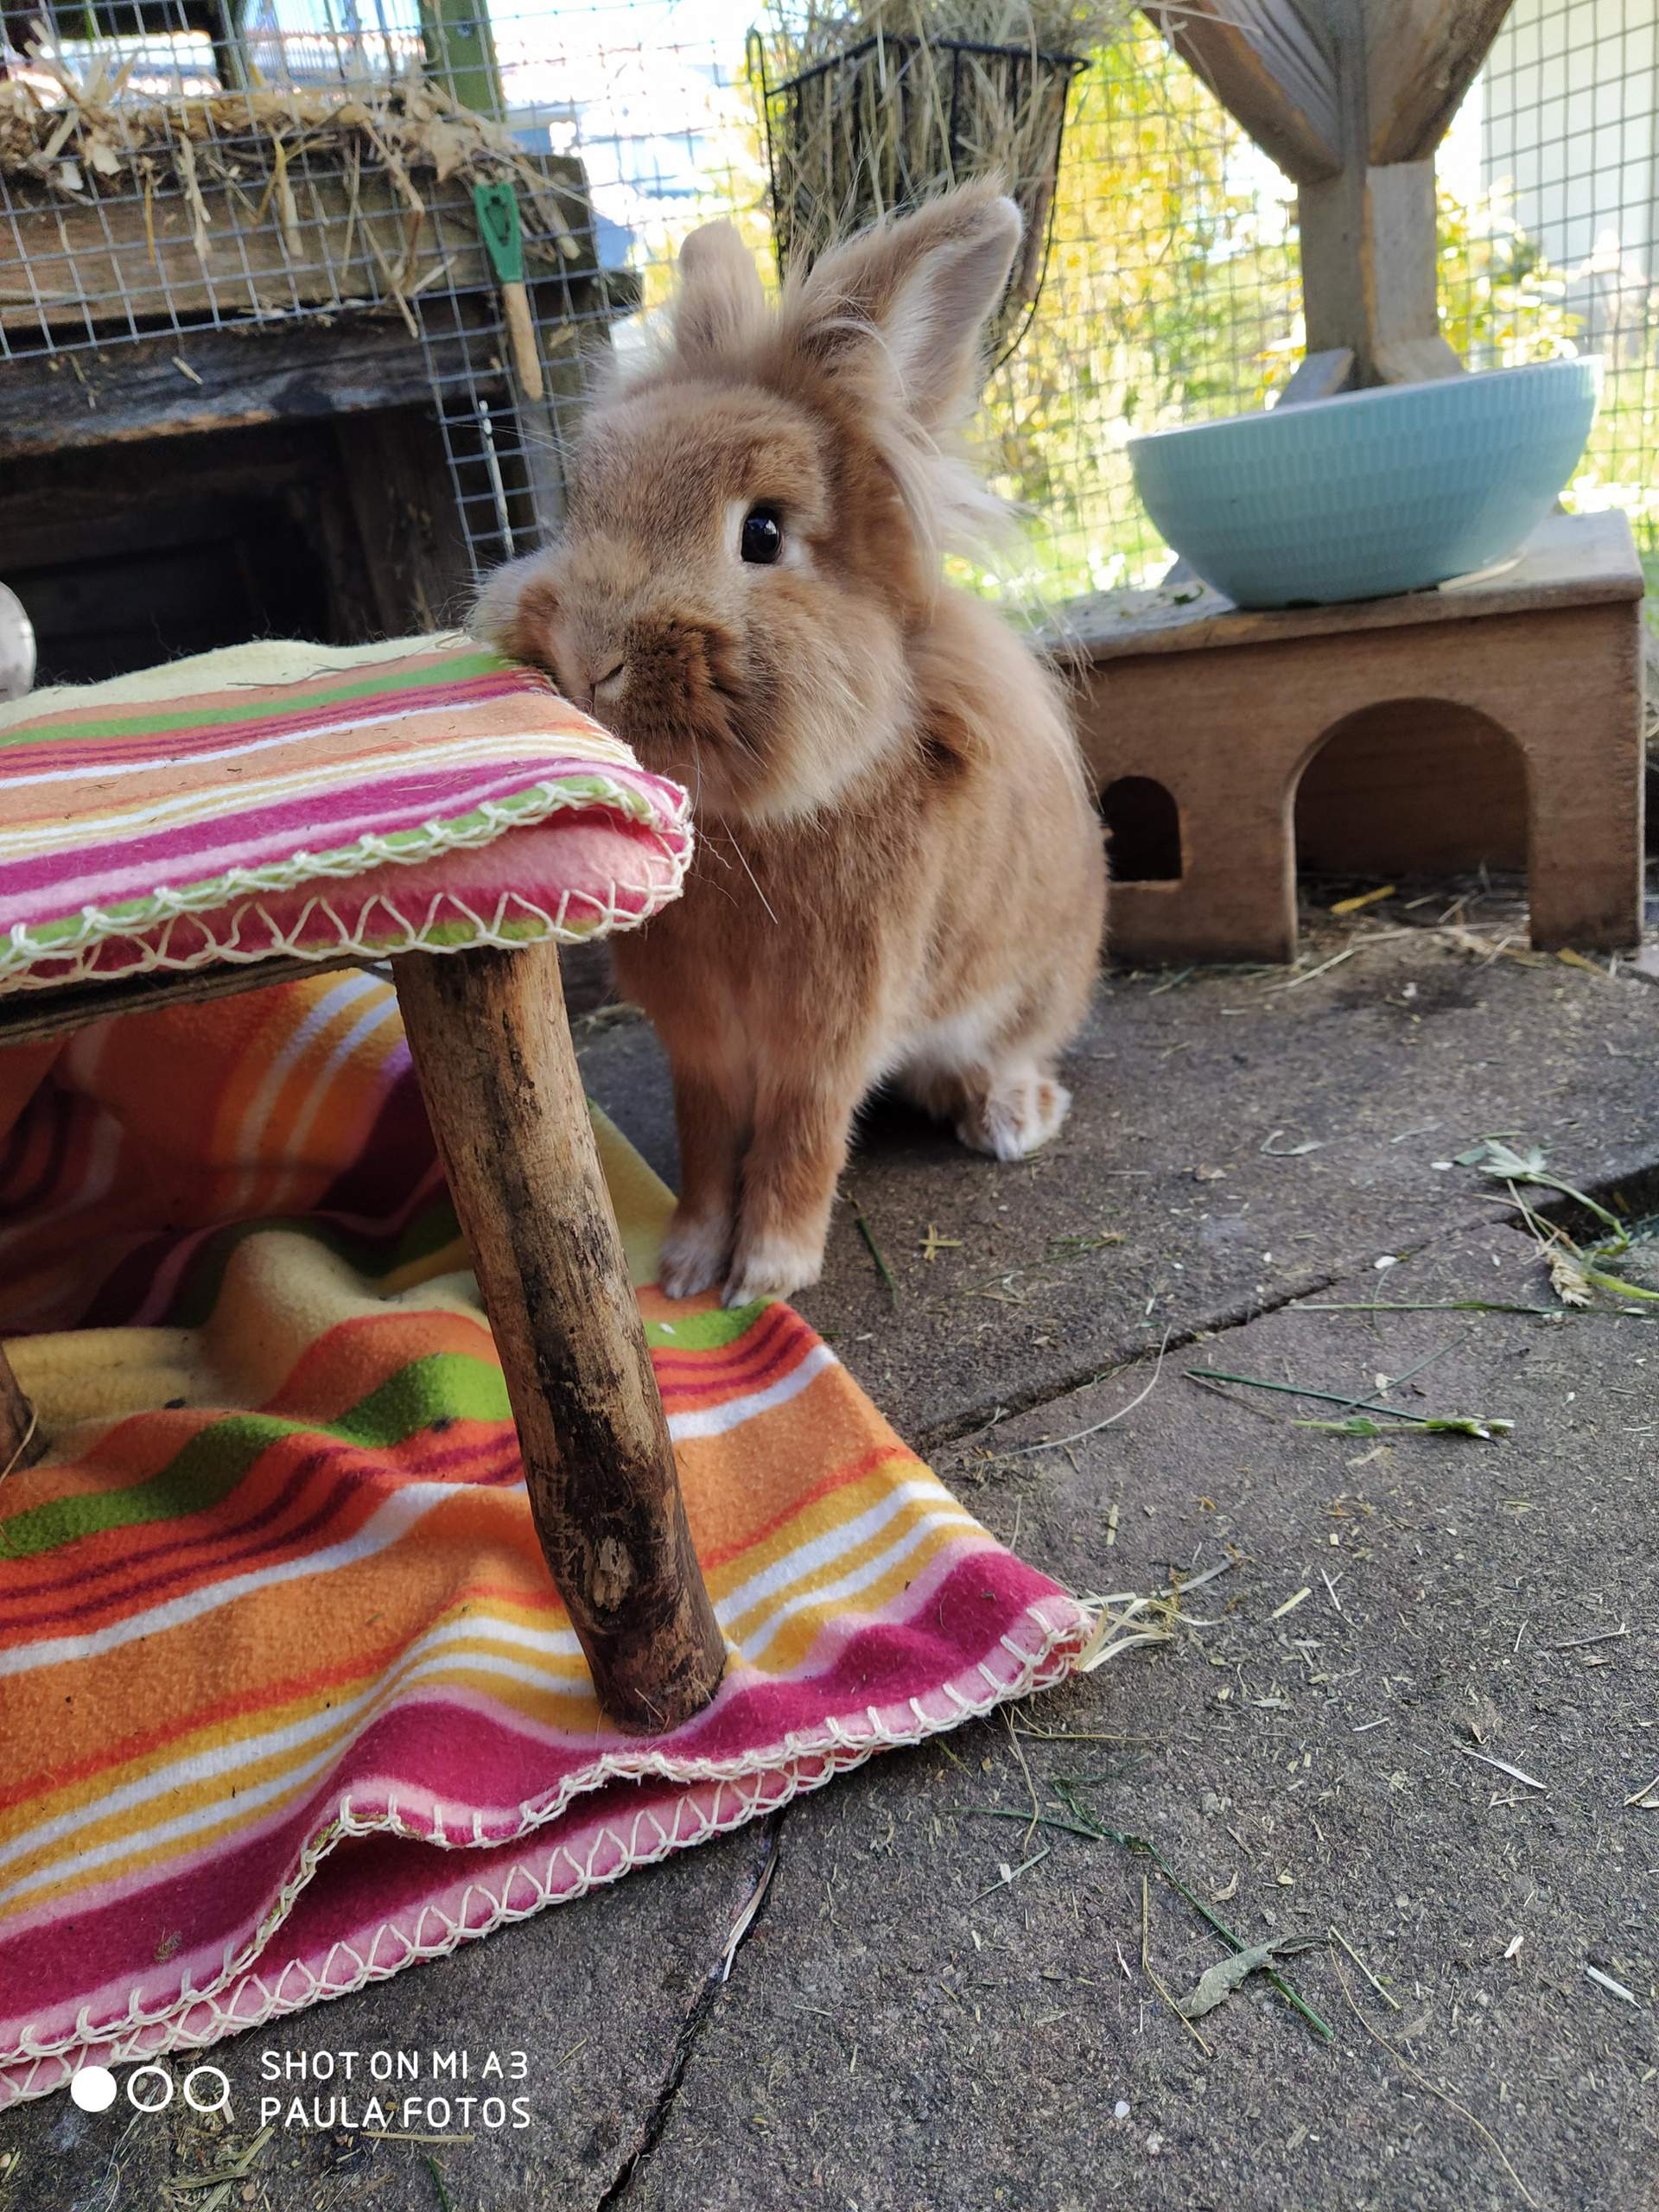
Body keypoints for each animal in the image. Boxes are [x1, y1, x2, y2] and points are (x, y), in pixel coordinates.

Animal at [474, 181, 1106, 1308]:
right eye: (582, 509)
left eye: (762, 533)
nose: (587, 654)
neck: (740, 823)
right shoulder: (701, 1043)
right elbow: (709, 1132)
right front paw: (687, 1264)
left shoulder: (834, 1022)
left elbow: (804, 1134)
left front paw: (764, 1274)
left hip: (1036, 982)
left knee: (1008, 1052)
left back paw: (1009, 1119)